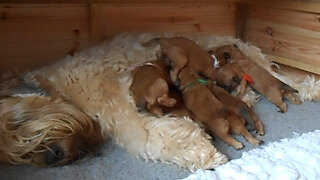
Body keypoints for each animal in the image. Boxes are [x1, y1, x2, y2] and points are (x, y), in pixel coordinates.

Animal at [1, 32, 318, 172]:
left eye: (16, 123)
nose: (51, 156)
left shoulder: (113, 100)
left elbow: (151, 133)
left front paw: (204, 152)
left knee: (289, 80)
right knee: (274, 86)